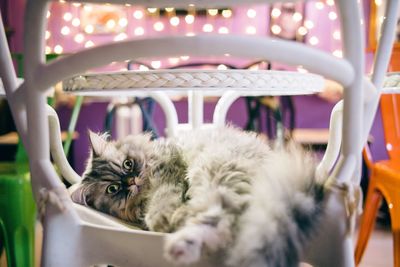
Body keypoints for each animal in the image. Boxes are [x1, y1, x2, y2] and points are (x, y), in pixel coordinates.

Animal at [70, 127, 326, 267]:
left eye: (128, 164)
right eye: (113, 189)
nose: (131, 181)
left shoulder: (169, 173)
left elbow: (163, 199)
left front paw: (161, 219)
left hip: (214, 172)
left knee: (221, 219)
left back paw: (179, 239)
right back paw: (182, 242)